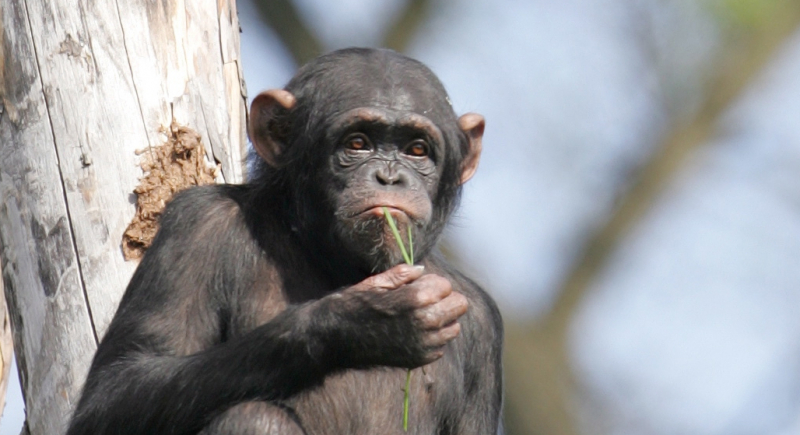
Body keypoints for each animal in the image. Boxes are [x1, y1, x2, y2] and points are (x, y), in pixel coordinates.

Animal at [65, 48, 504, 435]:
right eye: (358, 143)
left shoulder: (483, 323)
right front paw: (368, 320)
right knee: (256, 418)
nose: (390, 177)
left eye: (417, 150)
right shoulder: (197, 225)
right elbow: (116, 390)